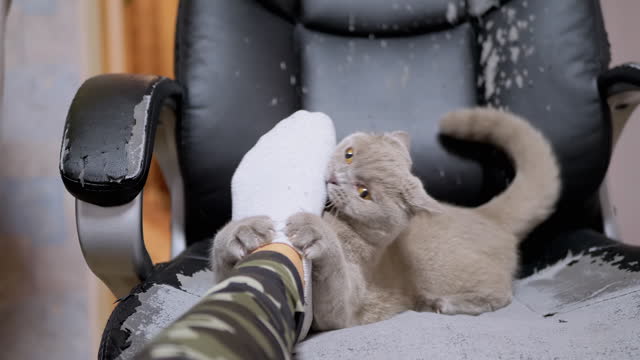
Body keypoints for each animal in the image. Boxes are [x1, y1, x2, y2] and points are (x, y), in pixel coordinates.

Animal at [211, 107, 560, 332]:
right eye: (349, 154)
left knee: (502, 294)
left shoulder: (343, 312)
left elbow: (335, 281)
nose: (335, 178)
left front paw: (316, 232)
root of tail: (484, 213)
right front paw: (242, 232)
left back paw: (445, 304)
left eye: (364, 193)